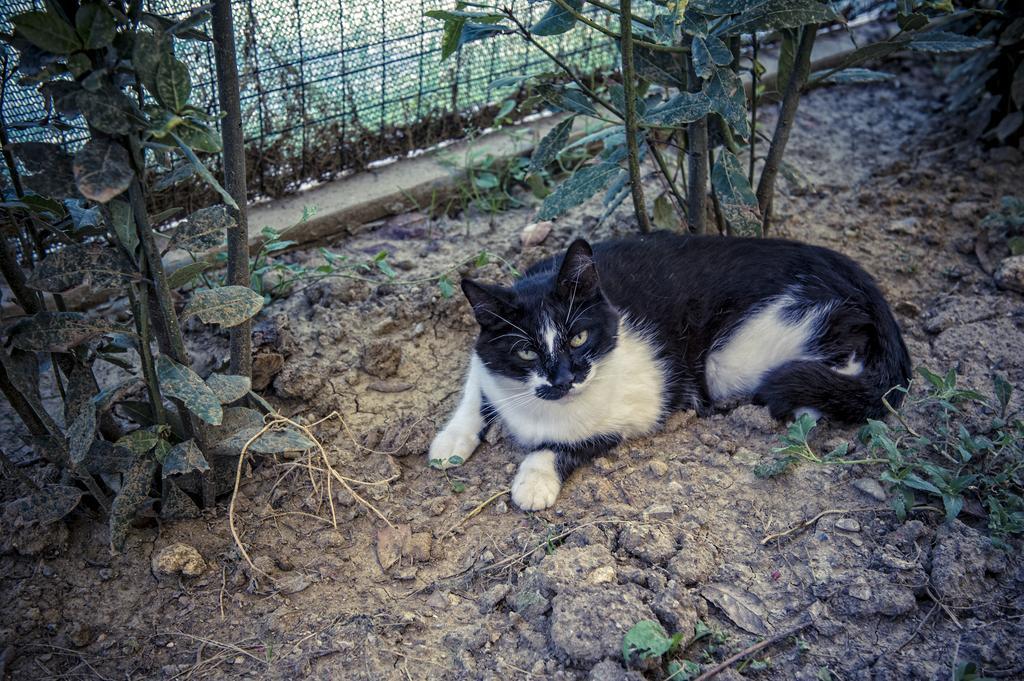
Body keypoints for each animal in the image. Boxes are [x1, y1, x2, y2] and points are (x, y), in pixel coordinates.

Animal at [428, 231, 909, 507]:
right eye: (526, 352)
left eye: (579, 338)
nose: (564, 378)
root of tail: (853, 272)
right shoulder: (484, 354)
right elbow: (477, 382)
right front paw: (452, 439)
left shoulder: (642, 404)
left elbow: (573, 442)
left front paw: (534, 478)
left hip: (734, 357)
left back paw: (802, 408)